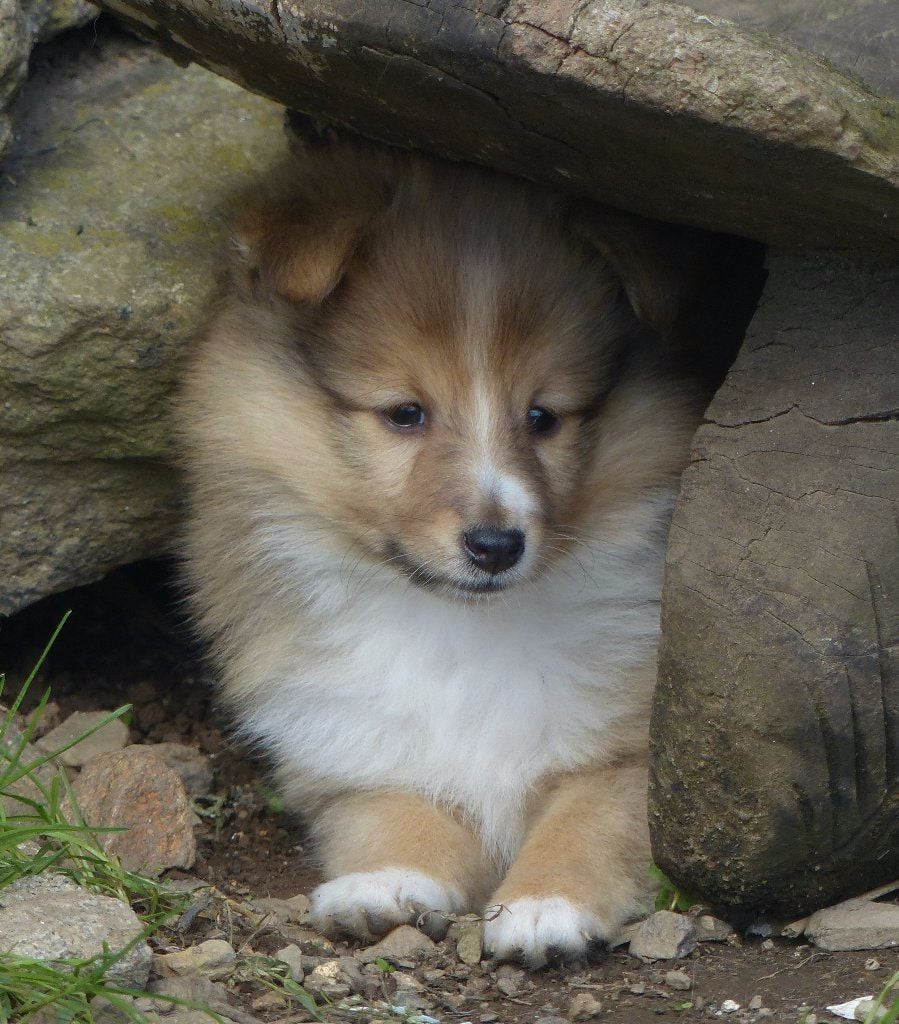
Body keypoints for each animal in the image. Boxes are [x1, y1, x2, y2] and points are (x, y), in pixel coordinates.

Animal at [178, 137, 732, 965]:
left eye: (543, 416)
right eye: (404, 413)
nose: (496, 544)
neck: (463, 628)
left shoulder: (637, 757)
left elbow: (586, 822)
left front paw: (543, 904)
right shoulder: (352, 748)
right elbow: (397, 812)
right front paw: (384, 883)